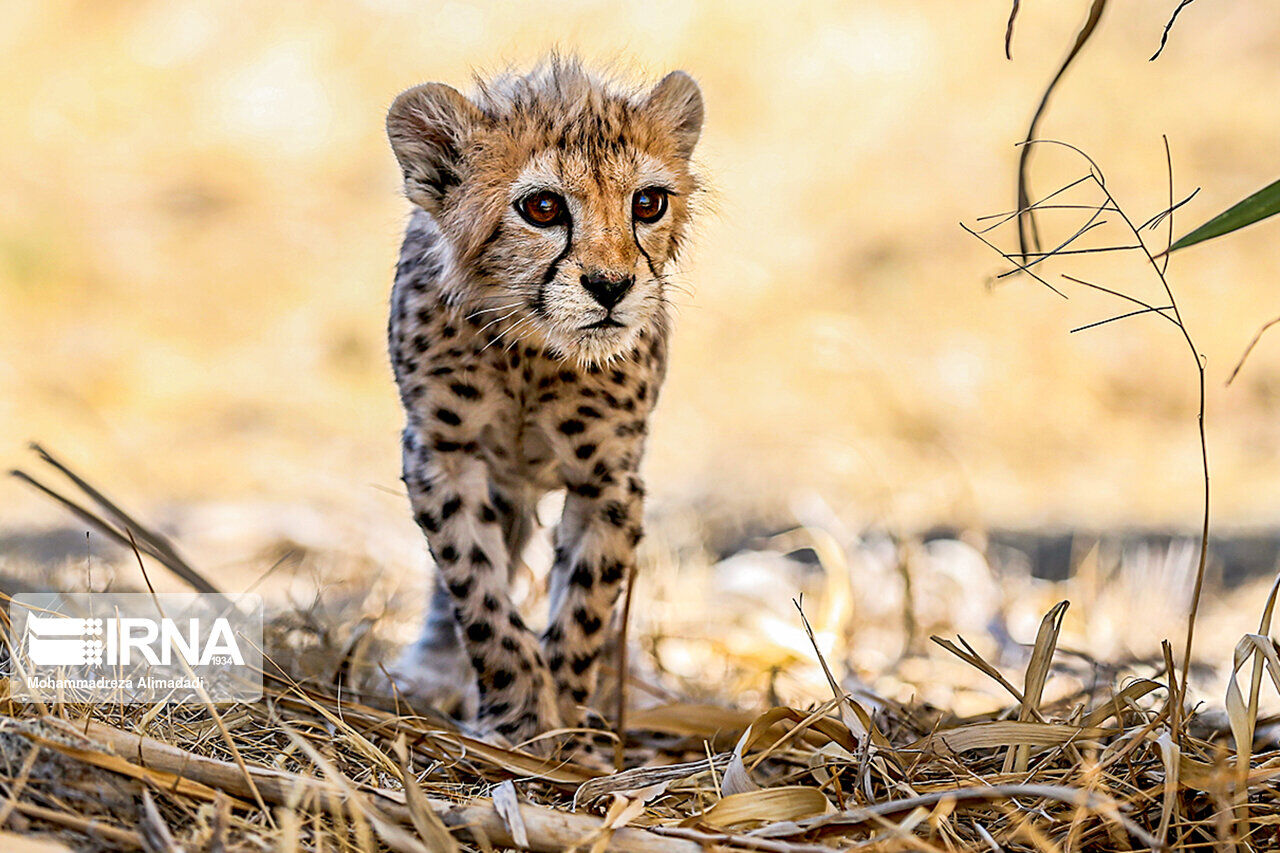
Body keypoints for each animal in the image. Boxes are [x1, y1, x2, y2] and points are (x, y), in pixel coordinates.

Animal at [382, 57, 703, 744]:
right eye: (542, 207)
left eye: (648, 202)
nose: (611, 286)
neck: (531, 349)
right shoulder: (443, 454)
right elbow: (477, 591)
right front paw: (518, 715)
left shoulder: (609, 477)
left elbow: (583, 607)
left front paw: (569, 732)